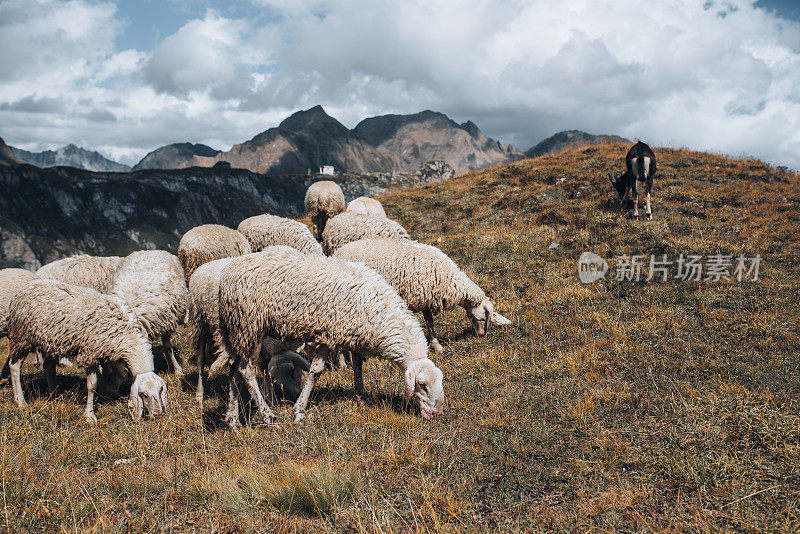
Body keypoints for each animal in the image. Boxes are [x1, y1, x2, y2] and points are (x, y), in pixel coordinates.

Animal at [6, 282, 167, 426]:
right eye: (143, 394)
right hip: (22, 337)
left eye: (160, 390)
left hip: (52, 340)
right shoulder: (90, 353)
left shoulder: (109, 353)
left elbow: (117, 375)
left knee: (48, 366)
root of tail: (26, 287)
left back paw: (55, 395)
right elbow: (91, 385)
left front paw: (107, 393)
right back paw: (21, 401)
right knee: (14, 366)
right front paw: (90, 415)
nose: (158, 414)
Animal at [219, 250, 444, 428]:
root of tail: (227, 275)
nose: (436, 414)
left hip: (239, 331)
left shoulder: (355, 334)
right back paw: (267, 416)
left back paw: (233, 420)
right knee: (247, 371)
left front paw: (361, 397)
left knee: (234, 370)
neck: (380, 315)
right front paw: (299, 412)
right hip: (250, 325)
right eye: (422, 385)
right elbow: (316, 372)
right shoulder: (328, 335)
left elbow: (358, 364)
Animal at [332, 241, 510, 354]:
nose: (481, 335)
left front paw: (436, 346)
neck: (450, 278)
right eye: (484, 316)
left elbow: (429, 322)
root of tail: (337, 252)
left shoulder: (425, 298)